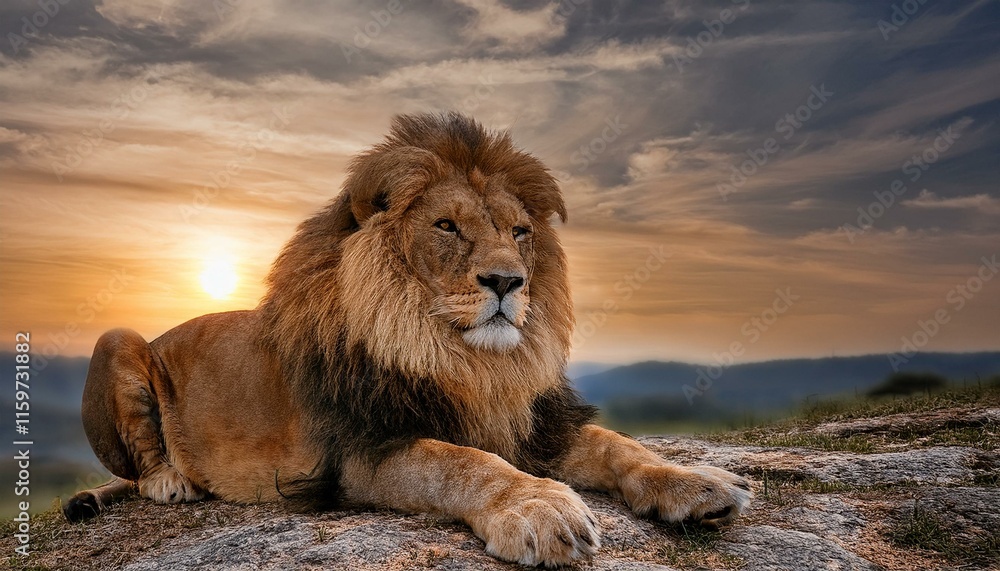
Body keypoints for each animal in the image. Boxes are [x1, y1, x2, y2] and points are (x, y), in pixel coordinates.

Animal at [64, 112, 752, 567]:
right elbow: (461, 461)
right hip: (117, 338)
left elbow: (616, 445)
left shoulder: (531, 424)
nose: (508, 281)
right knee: (139, 465)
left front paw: (696, 483)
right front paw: (539, 509)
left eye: (520, 231)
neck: (465, 360)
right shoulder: (359, 453)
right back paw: (171, 481)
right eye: (447, 226)